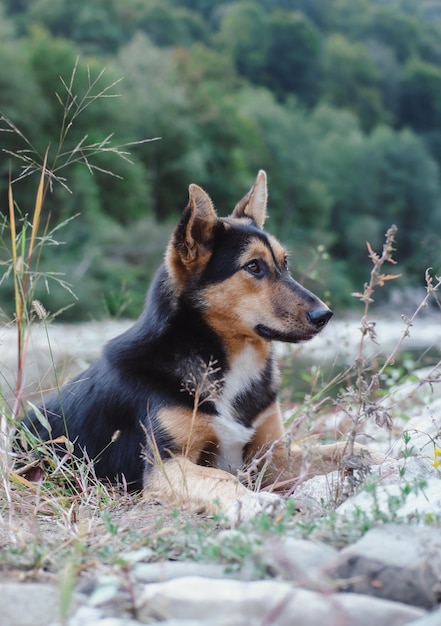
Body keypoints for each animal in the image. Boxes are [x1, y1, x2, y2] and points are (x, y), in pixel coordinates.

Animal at [23, 171, 382, 520]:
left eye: (285, 263)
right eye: (254, 266)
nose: (325, 315)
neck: (227, 360)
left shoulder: (271, 455)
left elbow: (340, 449)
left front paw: (381, 457)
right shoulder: (166, 466)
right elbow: (221, 477)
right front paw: (254, 501)